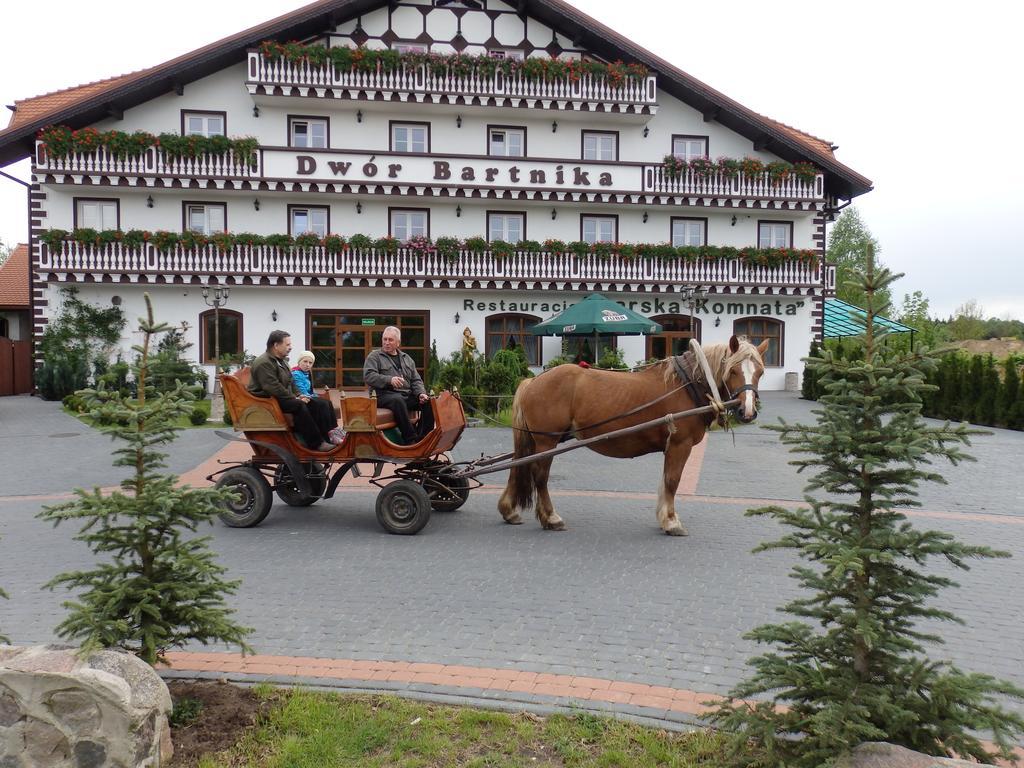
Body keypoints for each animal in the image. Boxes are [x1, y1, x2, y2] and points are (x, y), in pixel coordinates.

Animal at [495, 335, 770, 536]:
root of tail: (532, 381)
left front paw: (665, 516)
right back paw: (551, 517)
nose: (747, 411)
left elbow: (665, 481)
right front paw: (671, 522)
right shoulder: (680, 444)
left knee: (518, 467)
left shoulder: (671, 447)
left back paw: (510, 511)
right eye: (733, 370)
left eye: (760, 372)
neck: (689, 384)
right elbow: (672, 481)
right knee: (540, 477)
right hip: (546, 440)